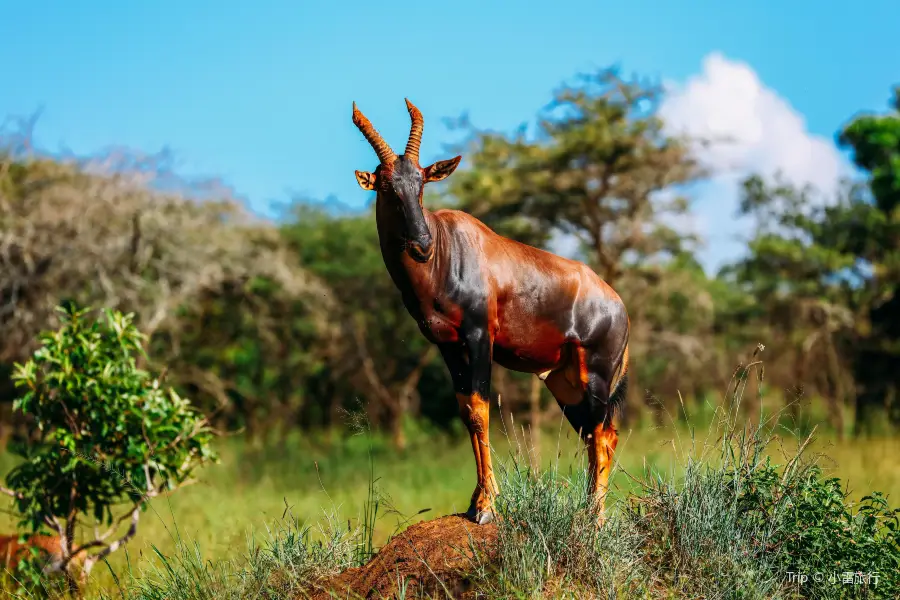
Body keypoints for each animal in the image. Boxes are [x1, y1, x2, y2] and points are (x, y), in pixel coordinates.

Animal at [348, 98, 628, 524]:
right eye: (386, 185)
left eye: (421, 182)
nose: (421, 245)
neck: (448, 248)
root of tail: (618, 303)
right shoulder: (447, 345)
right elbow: (467, 410)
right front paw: (475, 501)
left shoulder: (480, 337)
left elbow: (480, 410)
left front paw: (485, 507)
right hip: (563, 383)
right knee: (597, 434)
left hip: (595, 375)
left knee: (602, 434)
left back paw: (593, 516)